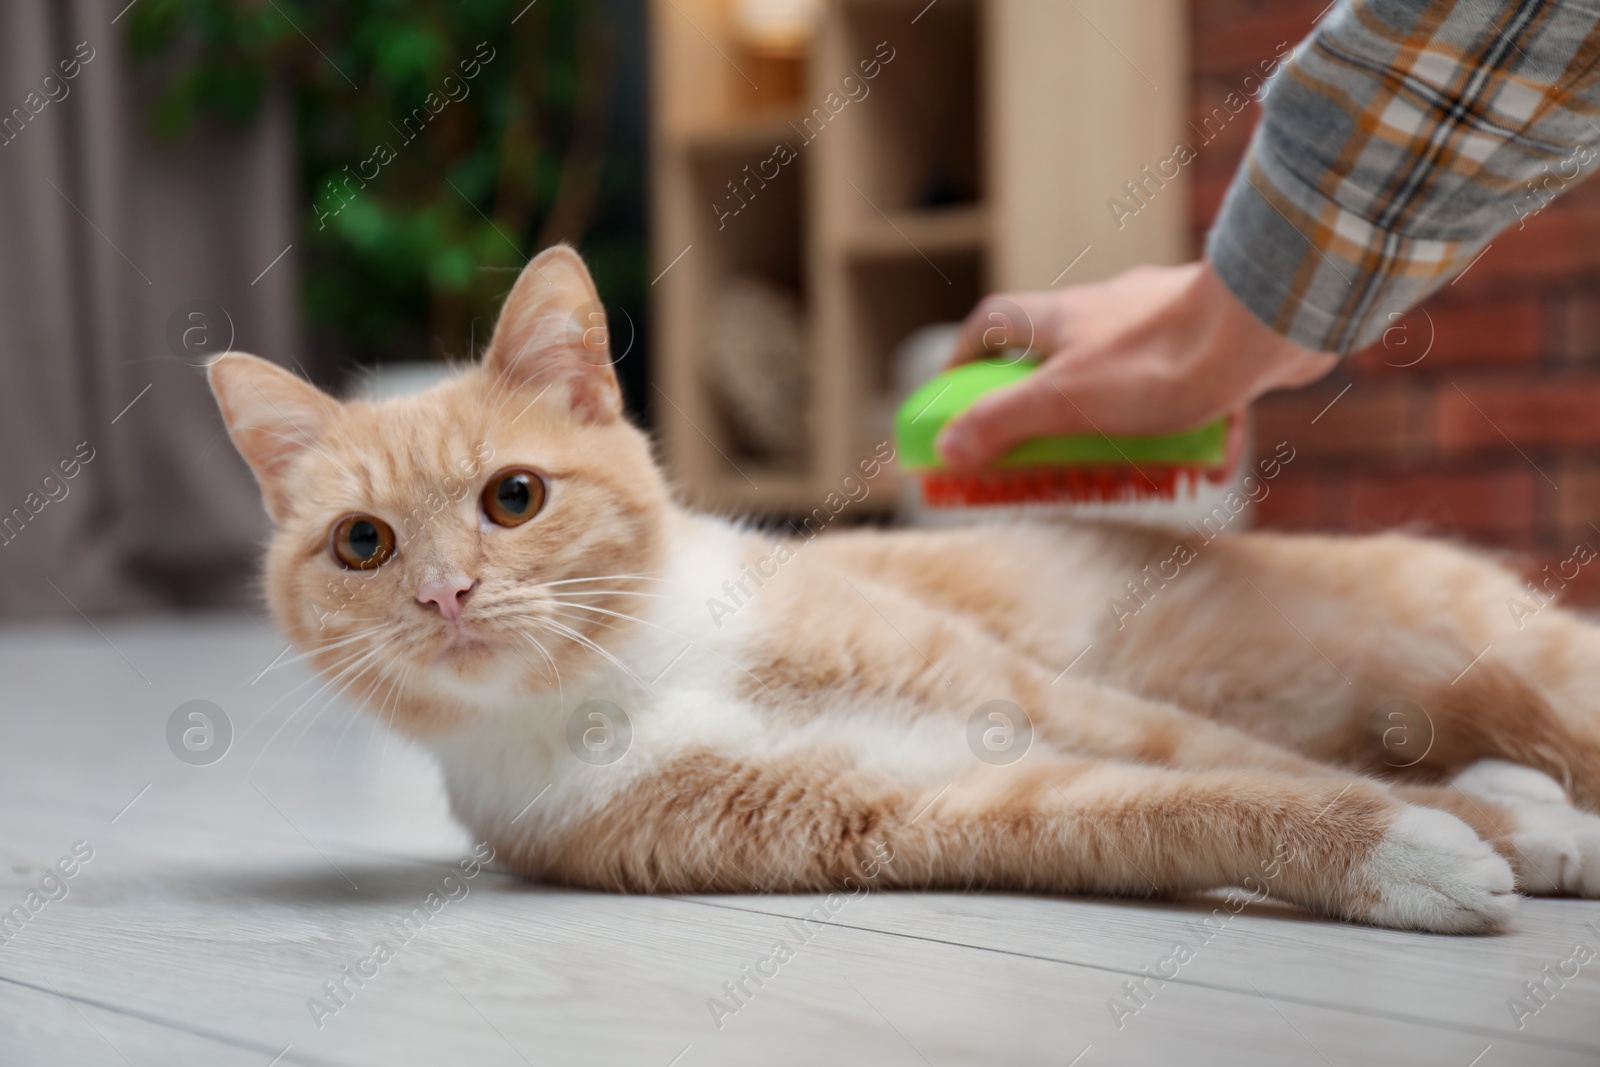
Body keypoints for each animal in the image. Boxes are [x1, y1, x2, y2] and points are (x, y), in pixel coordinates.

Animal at [209, 244, 1600, 934]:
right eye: (363, 544)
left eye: (513, 496)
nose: (444, 594)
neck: (638, 674)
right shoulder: (931, 805)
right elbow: (1185, 803)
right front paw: (1417, 851)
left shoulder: (1026, 692)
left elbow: (1249, 760)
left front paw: (1516, 835)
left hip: (1497, 663)